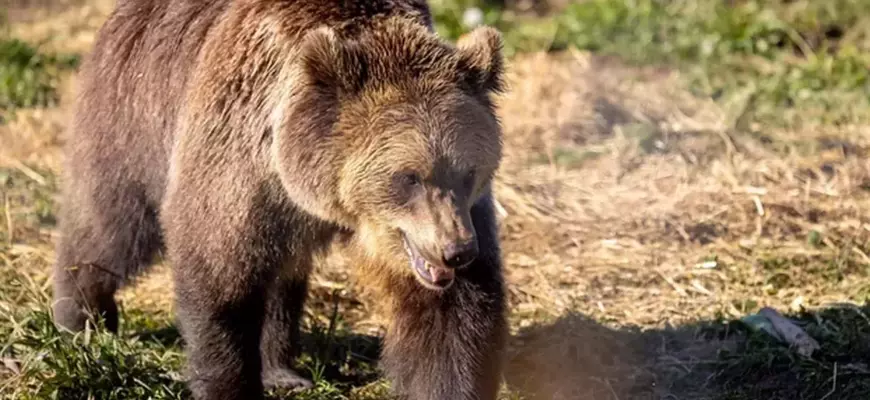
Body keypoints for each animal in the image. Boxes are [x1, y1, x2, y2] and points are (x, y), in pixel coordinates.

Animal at [50, 0, 508, 399]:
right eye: (408, 176)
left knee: (280, 280)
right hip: (132, 120)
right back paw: (80, 319)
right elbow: (220, 280)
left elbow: (450, 319)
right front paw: (230, 385)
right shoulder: (235, 160)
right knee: (112, 225)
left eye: (468, 171)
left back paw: (281, 370)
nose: (456, 251)